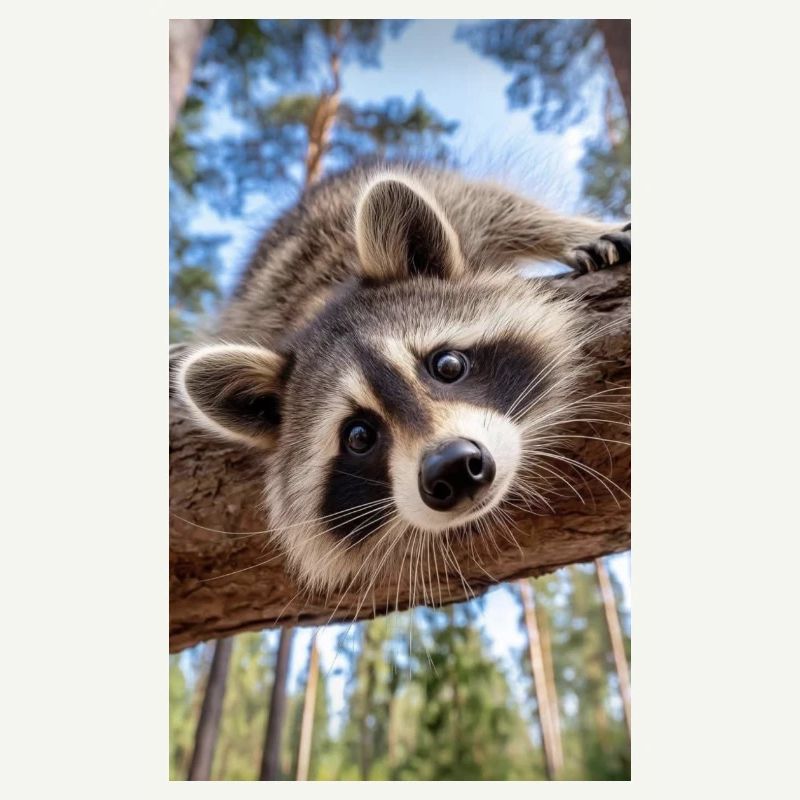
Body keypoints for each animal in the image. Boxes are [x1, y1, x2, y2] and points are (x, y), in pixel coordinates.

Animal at [176, 164, 630, 595]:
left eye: (447, 366)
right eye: (358, 436)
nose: (452, 468)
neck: (320, 302)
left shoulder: (462, 210)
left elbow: (503, 207)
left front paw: (572, 231)